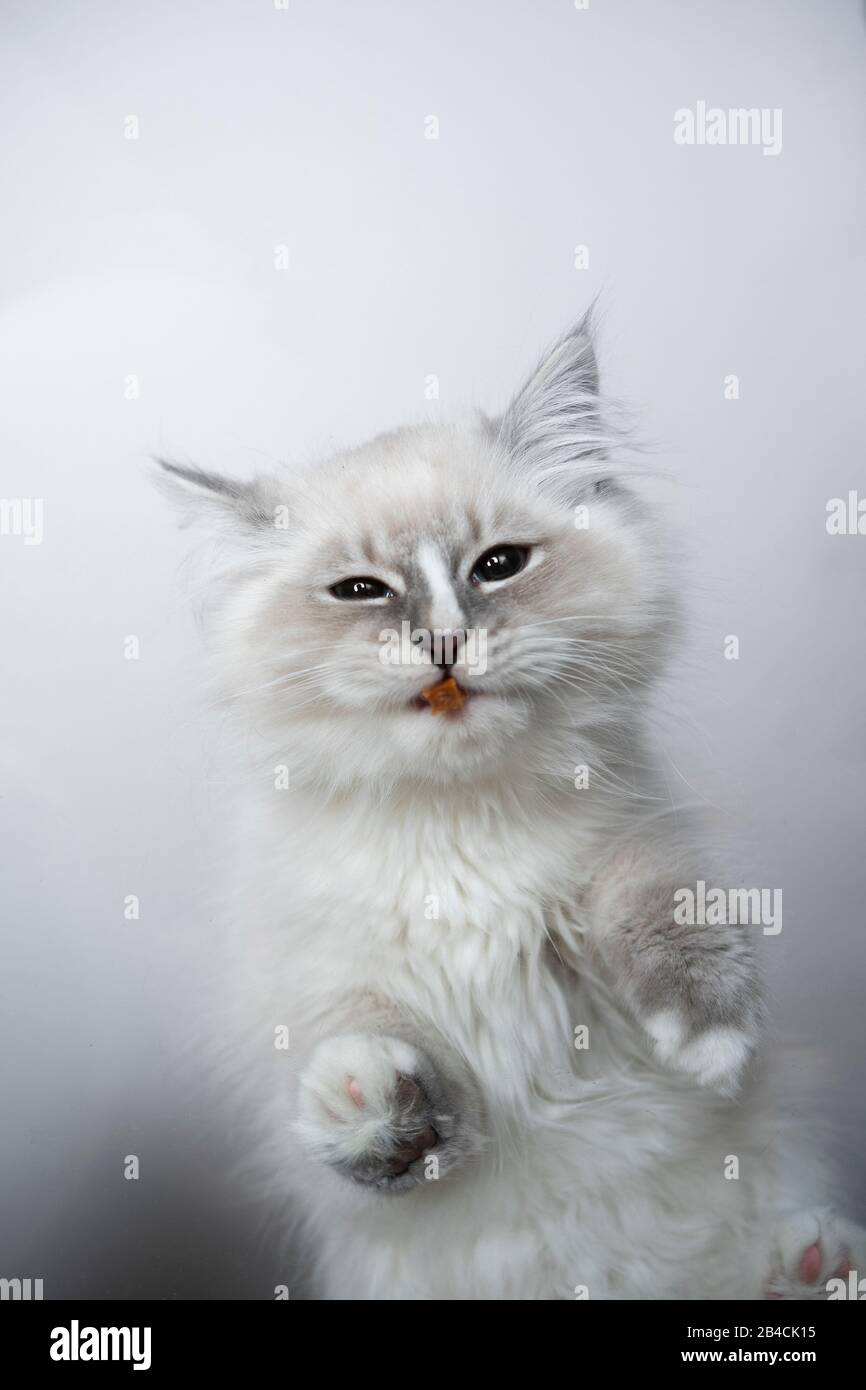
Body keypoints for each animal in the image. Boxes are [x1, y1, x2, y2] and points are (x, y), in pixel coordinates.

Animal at [159, 318, 861, 1301]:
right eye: (361, 591)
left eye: (498, 567)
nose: (445, 642)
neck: (459, 821)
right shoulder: (328, 979)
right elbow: (384, 1073)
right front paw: (365, 1098)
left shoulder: (624, 852)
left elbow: (657, 909)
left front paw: (708, 1032)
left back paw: (814, 1262)